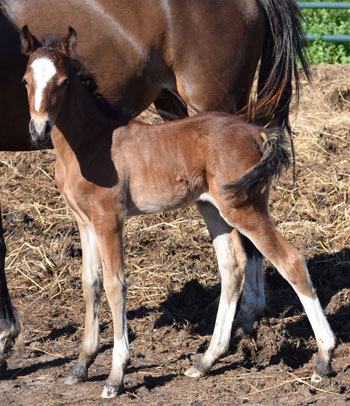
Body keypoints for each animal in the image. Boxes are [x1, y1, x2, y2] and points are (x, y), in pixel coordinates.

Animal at [20, 28, 334, 400]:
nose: (39, 130)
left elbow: (115, 284)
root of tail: (257, 133)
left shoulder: (109, 219)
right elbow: (90, 283)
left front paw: (116, 375)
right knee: (232, 267)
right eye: (26, 80)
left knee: (290, 261)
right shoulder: (84, 221)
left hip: (243, 207)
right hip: (213, 207)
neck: (89, 143)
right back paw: (206, 361)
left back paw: (324, 360)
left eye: (64, 81)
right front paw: (81, 366)